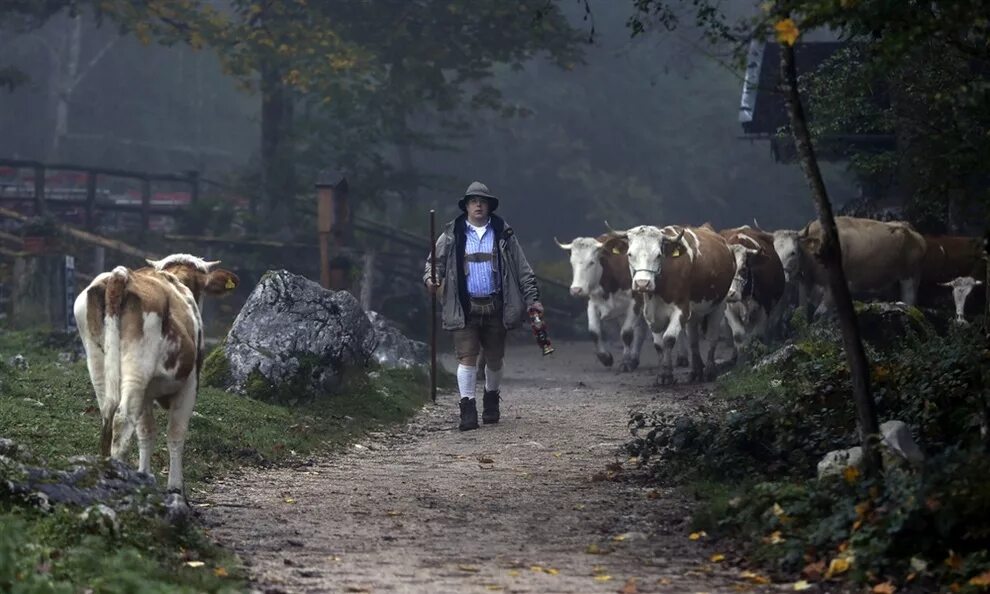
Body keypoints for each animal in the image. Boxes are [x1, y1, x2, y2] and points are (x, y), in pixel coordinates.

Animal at [72, 252, 239, 498]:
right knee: (122, 420)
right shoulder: (191, 384)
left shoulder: (147, 393)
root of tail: (121, 275)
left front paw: (144, 475)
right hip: (137, 367)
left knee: (107, 418)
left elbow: (146, 431)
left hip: (98, 363)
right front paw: (175, 487)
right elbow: (176, 433)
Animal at [560, 234, 652, 368]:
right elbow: (594, 332)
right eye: (572, 263)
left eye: (591, 262)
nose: (576, 290)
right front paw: (605, 357)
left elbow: (626, 333)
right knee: (641, 330)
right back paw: (634, 359)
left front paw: (625, 362)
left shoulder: (635, 302)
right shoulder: (592, 304)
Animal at [612, 223, 736, 384]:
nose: (642, 284)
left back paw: (709, 371)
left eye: (658, 255)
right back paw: (696, 372)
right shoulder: (651, 314)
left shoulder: (681, 309)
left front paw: (667, 375)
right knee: (693, 340)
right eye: (630, 254)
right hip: (694, 312)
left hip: (719, 304)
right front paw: (662, 374)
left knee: (712, 336)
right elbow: (658, 345)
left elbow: (669, 339)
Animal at [720, 224, 784, 358]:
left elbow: (757, 335)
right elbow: (739, 337)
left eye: (744, 269)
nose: (730, 294)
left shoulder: (765, 306)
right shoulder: (728, 309)